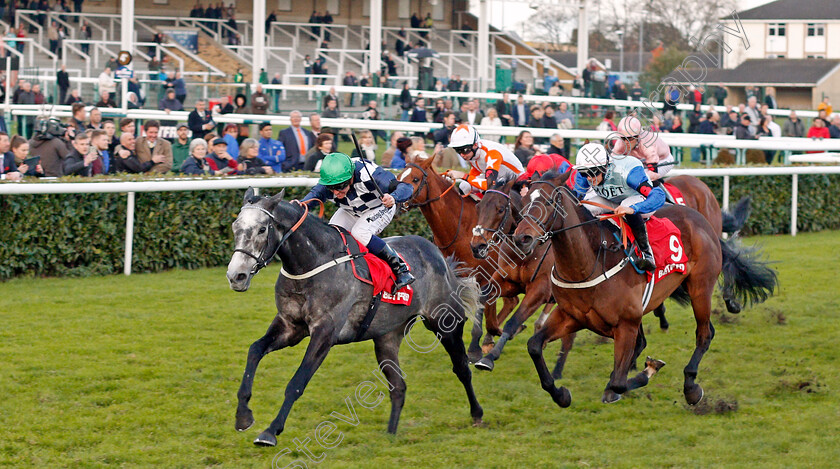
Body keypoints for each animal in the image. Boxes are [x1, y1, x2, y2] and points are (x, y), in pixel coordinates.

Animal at [226, 187, 482, 446]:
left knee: (462, 368)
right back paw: (390, 434)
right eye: (235, 227)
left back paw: (477, 413)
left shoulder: (325, 333)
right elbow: (255, 350)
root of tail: (439, 256)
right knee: (398, 386)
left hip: (445, 323)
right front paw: (243, 416)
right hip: (387, 337)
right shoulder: (290, 326)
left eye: (262, 229)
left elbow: (297, 382)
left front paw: (270, 431)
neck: (313, 264)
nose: (236, 276)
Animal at [512, 170, 776, 404]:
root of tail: (700, 219)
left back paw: (691, 387)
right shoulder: (571, 315)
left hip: (700, 287)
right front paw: (561, 394)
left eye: (548, 201)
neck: (587, 264)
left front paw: (647, 371)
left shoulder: (626, 324)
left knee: (704, 334)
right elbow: (534, 346)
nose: (522, 238)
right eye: (523, 202)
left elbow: (619, 382)